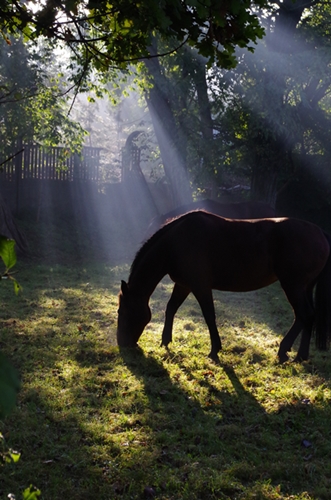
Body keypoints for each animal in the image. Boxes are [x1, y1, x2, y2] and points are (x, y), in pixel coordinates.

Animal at [116, 211, 331, 364]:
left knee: (304, 315)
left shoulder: (200, 286)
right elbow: (171, 309)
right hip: (304, 287)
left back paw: (285, 351)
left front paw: (214, 350)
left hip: (293, 286)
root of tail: (320, 232)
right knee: (309, 316)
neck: (176, 243)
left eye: (123, 311)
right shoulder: (184, 285)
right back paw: (301, 355)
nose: (122, 344)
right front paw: (165, 341)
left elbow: (209, 316)